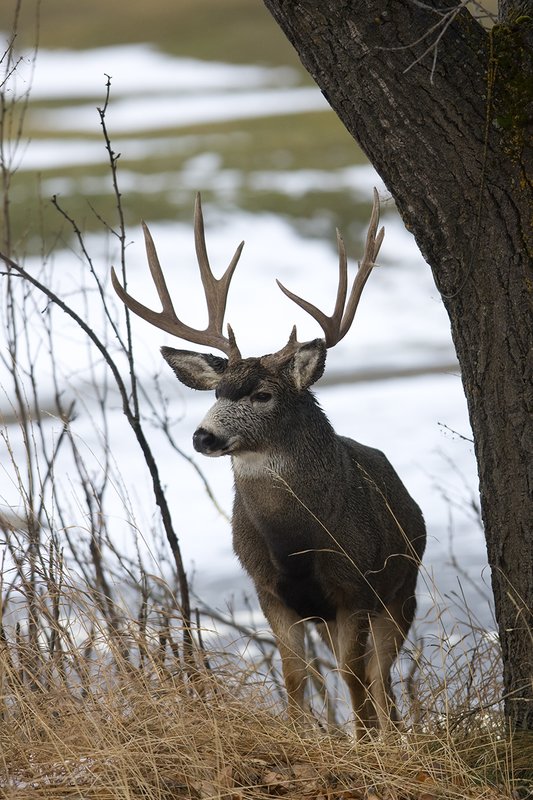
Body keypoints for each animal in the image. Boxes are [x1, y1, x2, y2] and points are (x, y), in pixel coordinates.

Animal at [111, 191, 426, 737]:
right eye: (217, 392)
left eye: (262, 394)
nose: (203, 435)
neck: (294, 541)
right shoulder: (268, 591)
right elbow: (295, 675)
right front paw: (303, 737)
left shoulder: (355, 587)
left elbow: (354, 676)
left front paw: (364, 742)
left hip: (402, 588)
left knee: (379, 675)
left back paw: (389, 734)